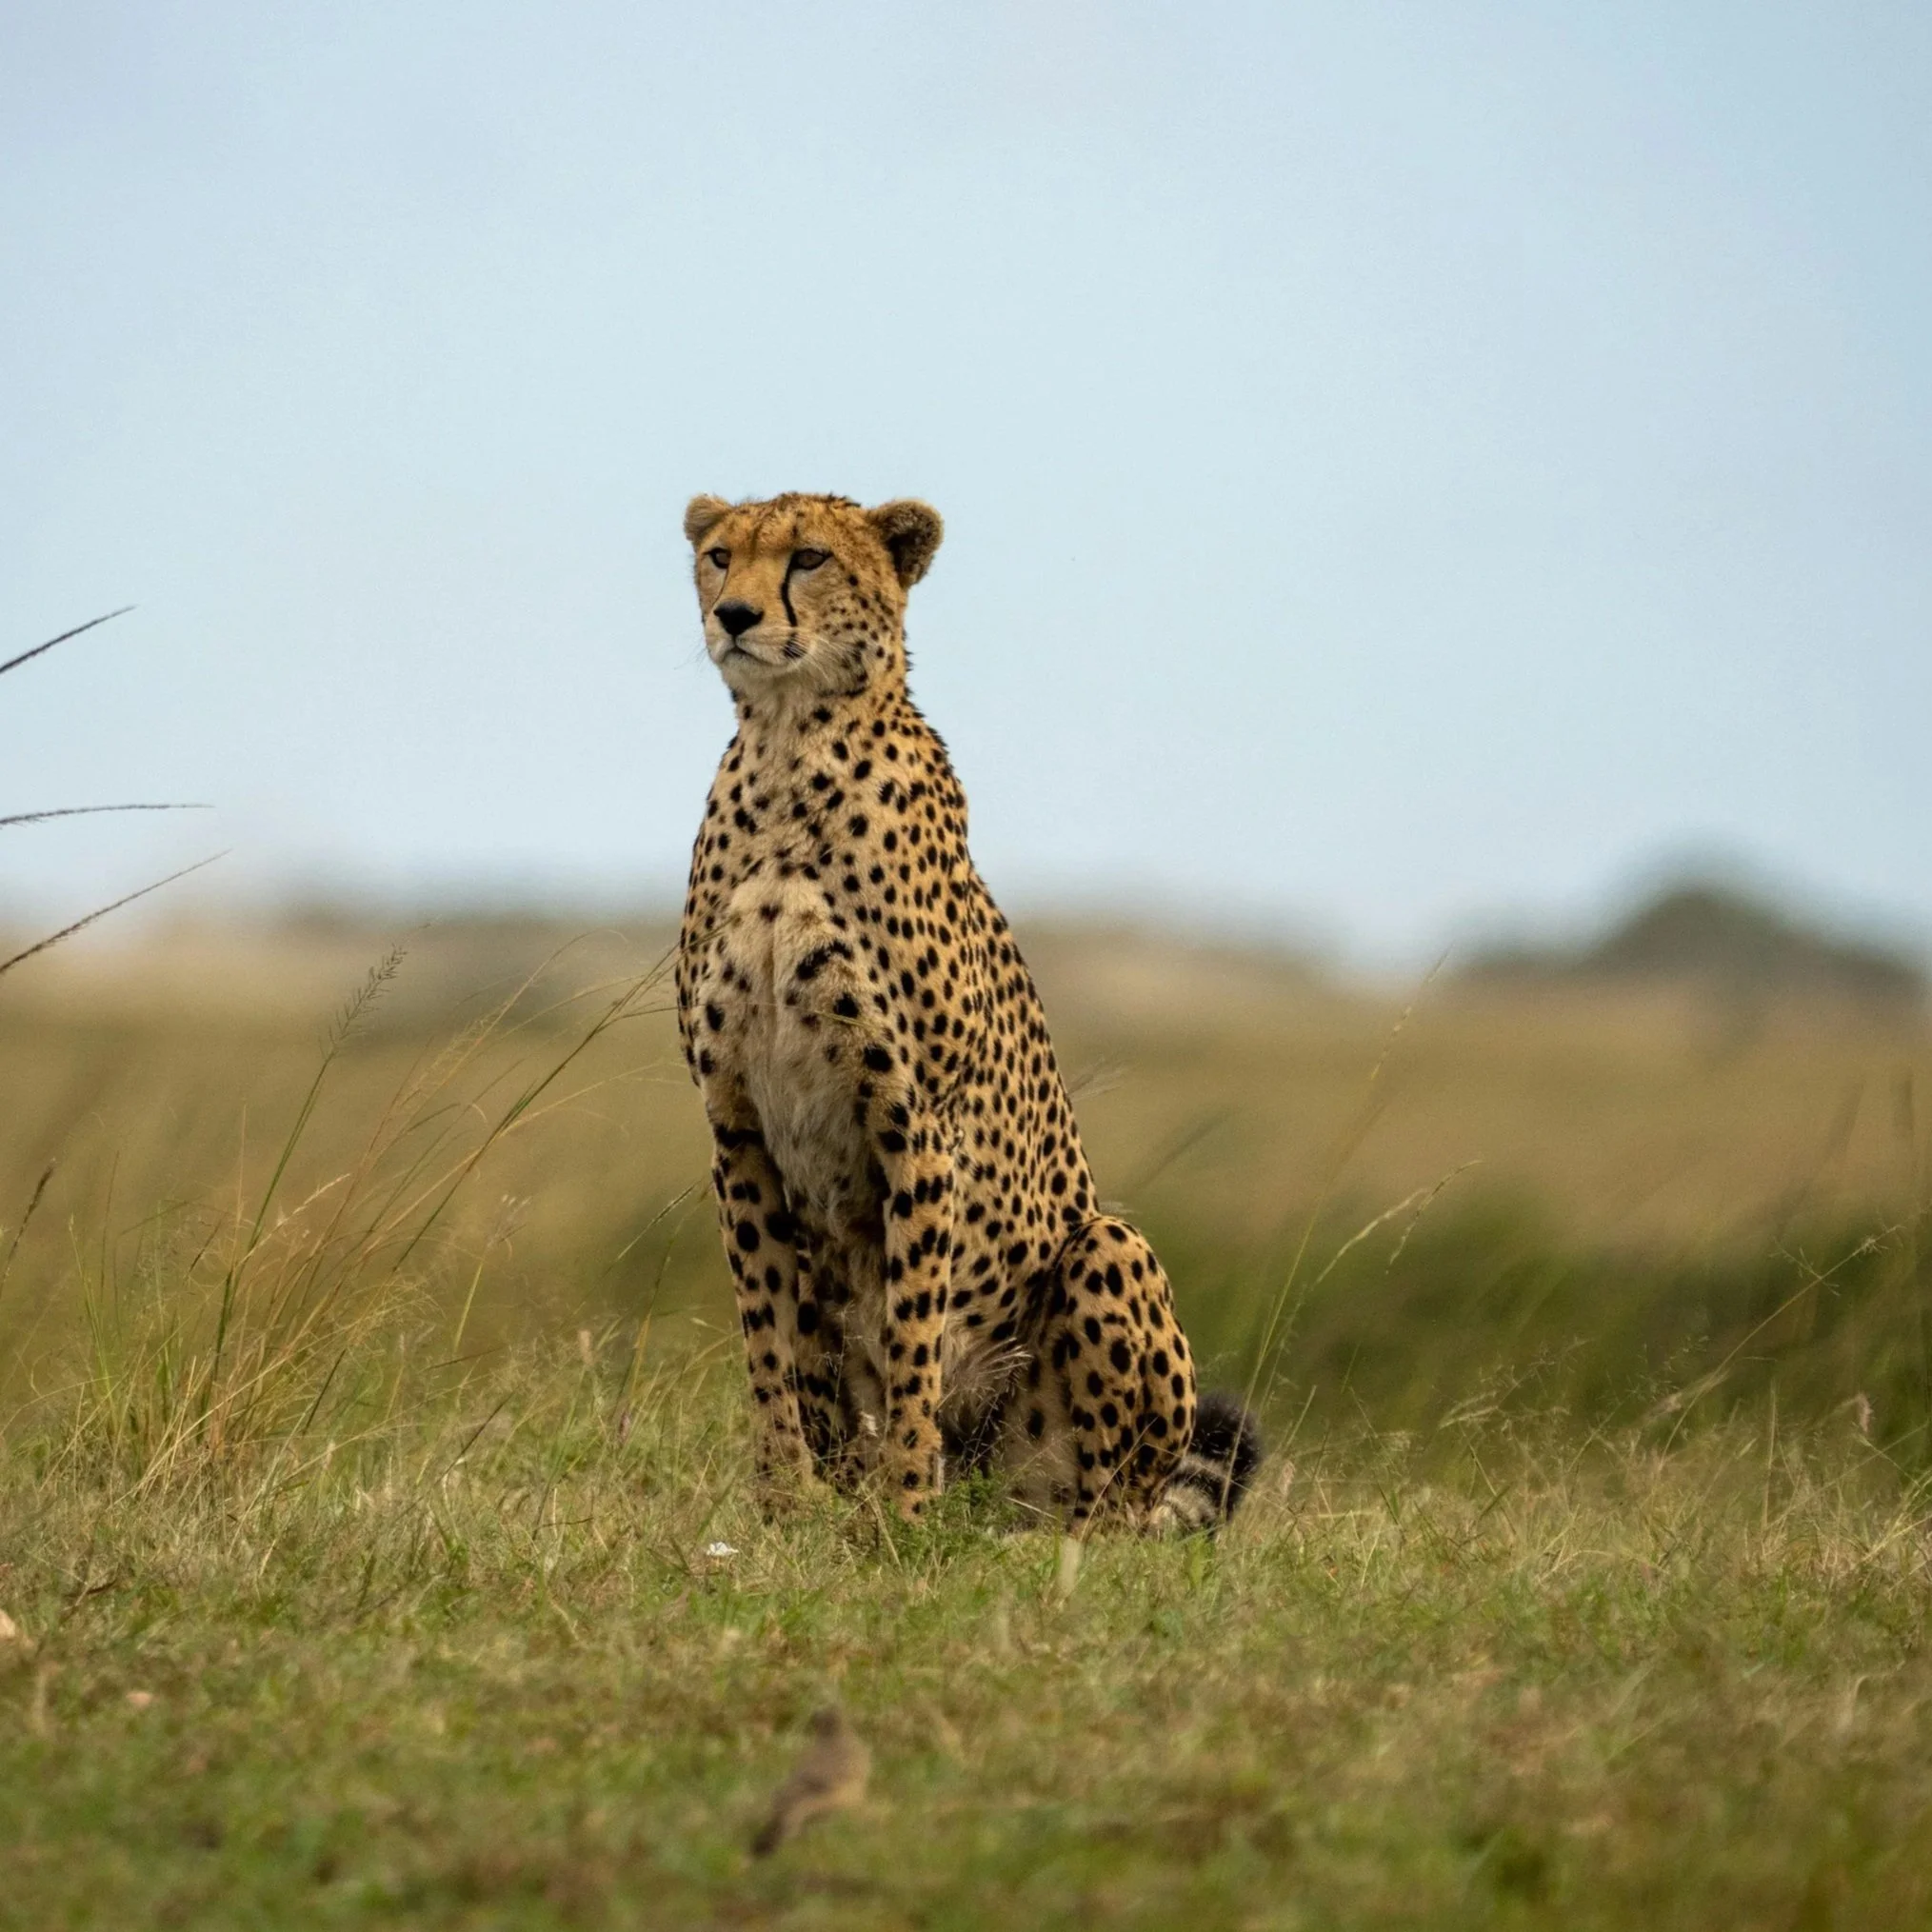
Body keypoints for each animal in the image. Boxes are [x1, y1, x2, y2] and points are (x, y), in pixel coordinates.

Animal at [674, 490, 1261, 1533]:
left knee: (1107, 1513)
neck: (787, 750)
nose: (734, 616)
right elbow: (766, 1337)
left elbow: (912, 1333)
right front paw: (781, 1507)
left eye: (809, 558)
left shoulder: (915, 1122)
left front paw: (905, 1510)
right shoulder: (734, 1124)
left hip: (1104, 1254)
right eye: (718, 555)